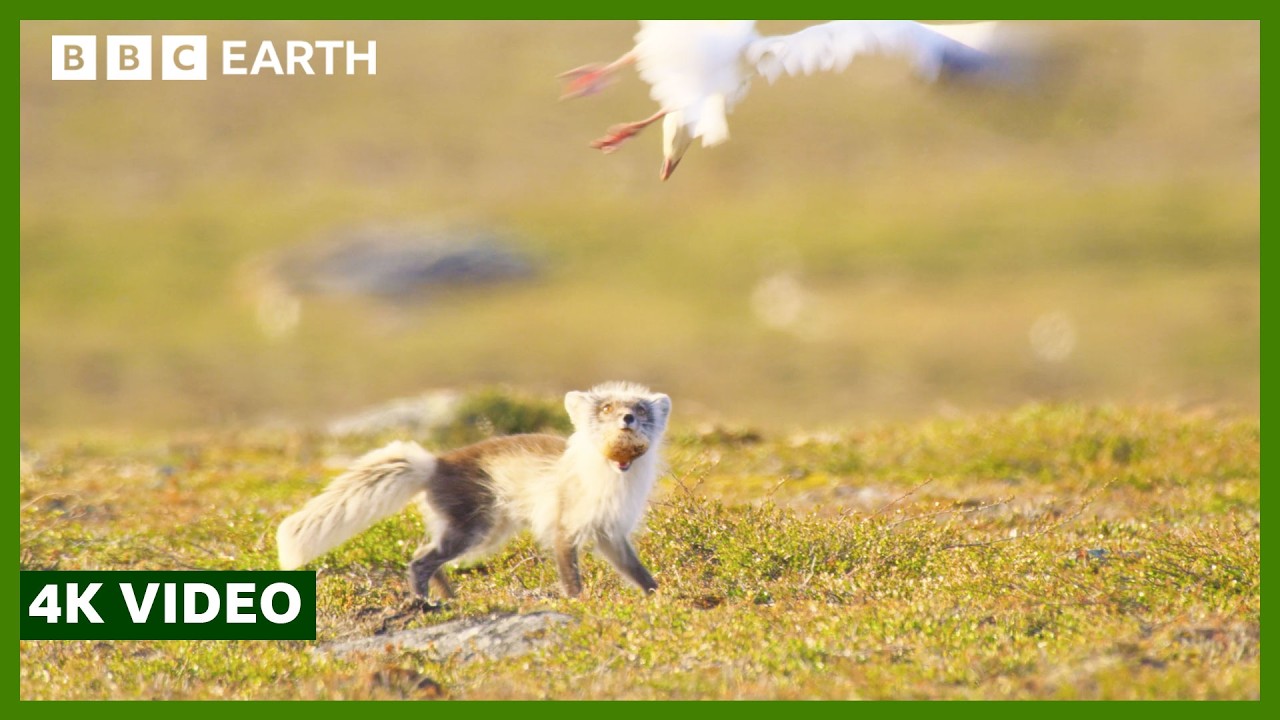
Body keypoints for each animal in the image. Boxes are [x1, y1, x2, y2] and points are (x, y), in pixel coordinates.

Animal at [276, 381, 671, 601]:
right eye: (606, 408)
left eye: (640, 409)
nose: (627, 419)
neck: (612, 481)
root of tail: (435, 462)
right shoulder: (564, 527)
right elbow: (571, 578)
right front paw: (580, 604)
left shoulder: (611, 533)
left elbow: (638, 573)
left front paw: (659, 598)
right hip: (473, 532)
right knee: (420, 560)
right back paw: (427, 603)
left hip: (482, 535)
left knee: (424, 555)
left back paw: (452, 600)